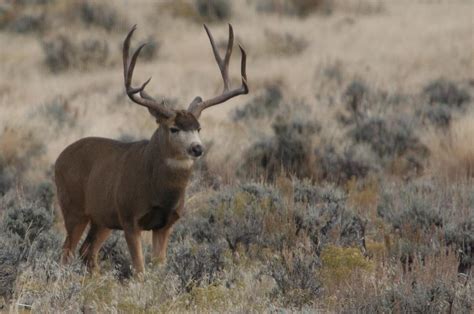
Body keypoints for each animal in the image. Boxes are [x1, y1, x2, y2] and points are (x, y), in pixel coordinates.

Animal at [54, 24, 248, 274]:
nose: (197, 148)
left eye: (198, 127)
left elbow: (159, 266)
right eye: (174, 128)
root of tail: (59, 159)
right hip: (73, 208)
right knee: (66, 252)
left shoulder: (166, 223)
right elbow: (140, 270)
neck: (158, 190)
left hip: (103, 218)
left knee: (87, 252)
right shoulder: (129, 218)